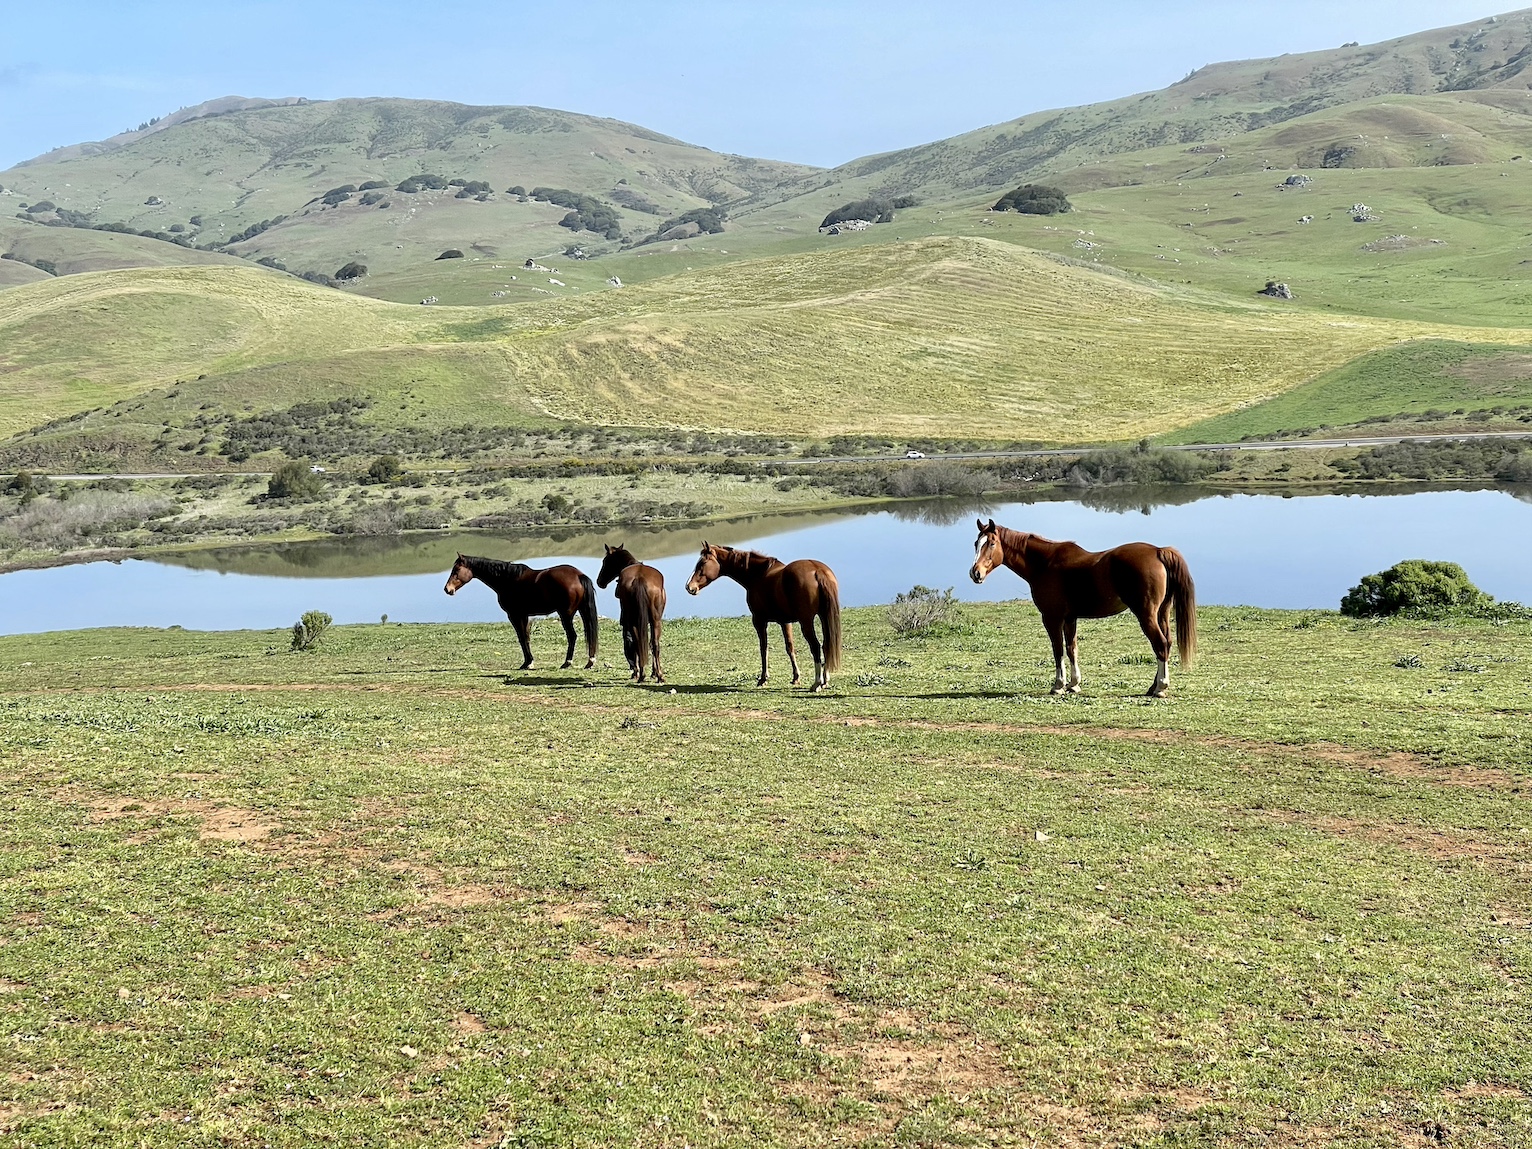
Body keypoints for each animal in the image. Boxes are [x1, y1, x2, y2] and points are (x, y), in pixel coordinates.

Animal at [444, 554, 597, 671]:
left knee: (572, 636)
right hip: (580, 611)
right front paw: (529, 662)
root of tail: (579, 575)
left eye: (457, 569)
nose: (447, 589)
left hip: (565, 615)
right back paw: (590, 661)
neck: (508, 580)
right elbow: (526, 638)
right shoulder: (524, 616)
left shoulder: (515, 615)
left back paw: (567, 662)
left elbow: (522, 638)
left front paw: (527, 663)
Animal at [594, 545, 667, 683]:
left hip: (636, 621)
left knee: (640, 643)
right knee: (652, 644)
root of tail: (640, 579)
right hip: (654, 621)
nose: (599, 582)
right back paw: (655, 675)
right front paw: (653, 673)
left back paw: (641, 673)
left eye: (605, 561)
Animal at [689, 545, 845, 698]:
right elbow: (790, 647)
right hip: (824, 616)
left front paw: (763, 679)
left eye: (702, 563)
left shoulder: (759, 620)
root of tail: (818, 570)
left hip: (806, 621)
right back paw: (825, 680)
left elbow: (763, 649)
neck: (758, 575)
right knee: (826, 645)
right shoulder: (785, 622)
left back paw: (817, 683)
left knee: (816, 647)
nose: (689, 587)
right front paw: (796, 677)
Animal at [968, 520, 1194, 701]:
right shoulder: (1070, 618)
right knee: (1167, 643)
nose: (975, 573)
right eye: (976, 544)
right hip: (1162, 613)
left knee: (1160, 645)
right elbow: (1072, 649)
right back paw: (1153, 686)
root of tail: (1158, 551)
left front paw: (1058, 685)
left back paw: (1161, 688)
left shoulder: (1052, 617)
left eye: (991, 543)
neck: (1045, 564)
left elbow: (1058, 650)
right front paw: (1074, 684)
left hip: (1146, 615)